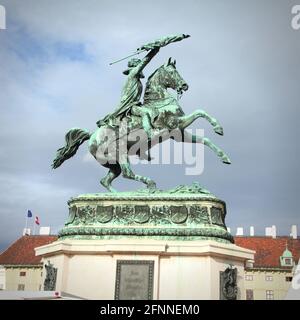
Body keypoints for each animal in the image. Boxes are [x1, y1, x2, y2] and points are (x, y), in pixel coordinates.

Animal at [52, 57, 230, 191]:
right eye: (172, 72)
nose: (184, 86)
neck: (159, 101)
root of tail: (92, 137)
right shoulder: (173, 126)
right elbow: (200, 112)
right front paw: (218, 128)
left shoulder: (179, 133)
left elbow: (204, 139)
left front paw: (224, 156)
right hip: (120, 154)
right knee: (127, 174)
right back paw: (149, 185)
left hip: (113, 164)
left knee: (107, 180)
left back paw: (119, 197)